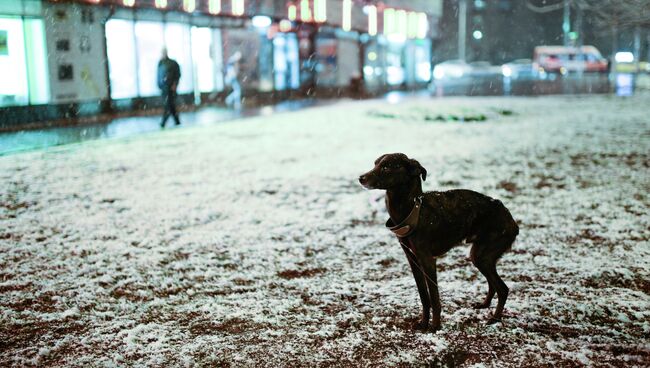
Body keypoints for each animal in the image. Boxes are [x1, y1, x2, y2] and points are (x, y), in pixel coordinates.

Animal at [360, 152, 516, 330]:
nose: (360, 178)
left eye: (386, 167)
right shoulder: (413, 260)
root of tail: (511, 219)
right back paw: (484, 305)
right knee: (493, 284)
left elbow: (434, 298)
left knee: (503, 289)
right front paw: (423, 323)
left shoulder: (428, 260)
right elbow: (424, 296)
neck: (414, 209)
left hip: (483, 256)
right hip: (479, 256)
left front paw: (434, 327)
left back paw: (495, 319)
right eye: (375, 164)